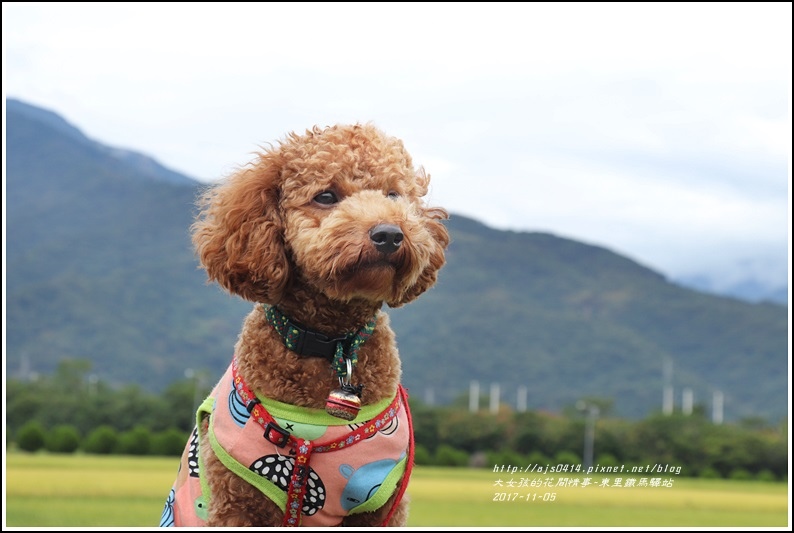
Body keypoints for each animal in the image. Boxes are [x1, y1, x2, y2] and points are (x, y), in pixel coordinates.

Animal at [158, 122, 448, 524]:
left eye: (393, 194)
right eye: (326, 196)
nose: (389, 234)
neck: (331, 343)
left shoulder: (381, 506)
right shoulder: (236, 501)